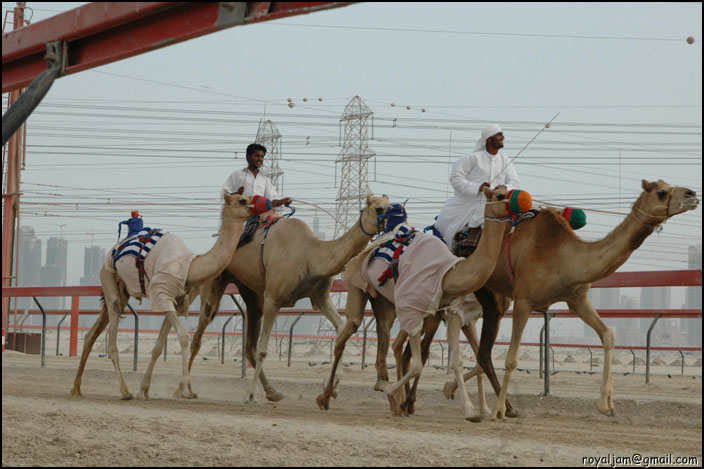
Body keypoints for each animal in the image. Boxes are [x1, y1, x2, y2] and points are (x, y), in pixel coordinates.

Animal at [69, 193, 254, 398]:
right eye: (243, 200)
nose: (262, 205)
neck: (189, 266)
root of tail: (113, 250)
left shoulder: (176, 304)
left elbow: (158, 346)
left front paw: (145, 389)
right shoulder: (161, 295)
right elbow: (183, 336)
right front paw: (187, 388)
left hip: (121, 288)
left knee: (91, 334)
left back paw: (76, 387)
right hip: (107, 274)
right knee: (112, 331)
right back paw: (124, 391)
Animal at [184, 194, 394, 402]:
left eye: (392, 204)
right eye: (379, 208)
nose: (395, 223)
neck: (311, 255)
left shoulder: (320, 297)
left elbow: (341, 328)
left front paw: (332, 387)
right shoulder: (273, 298)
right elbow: (264, 349)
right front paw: (249, 393)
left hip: (251, 292)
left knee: (249, 345)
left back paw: (271, 391)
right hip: (216, 280)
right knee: (200, 332)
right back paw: (187, 389)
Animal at [316, 185, 532, 418]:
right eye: (500, 195)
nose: (526, 202)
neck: (449, 273)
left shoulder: (458, 313)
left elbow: (466, 357)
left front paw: (477, 409)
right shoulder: (419, 311)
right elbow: (422, 362)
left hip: (387, 304)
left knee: (386, 348)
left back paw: (391, 398)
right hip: (360, 285)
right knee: (349, 335)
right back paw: (330, 396)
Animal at [402, 177, 700, 418]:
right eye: (661, 192)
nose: (692, 194)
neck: (564, 255)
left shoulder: (577, 299)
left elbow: (608, 335)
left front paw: (606, 404)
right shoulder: (523, 301)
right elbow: (511, 358)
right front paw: (497, 410)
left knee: (471, 345)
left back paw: (446, 396)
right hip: (475, 296)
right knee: (446, 348)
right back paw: (414, 403)